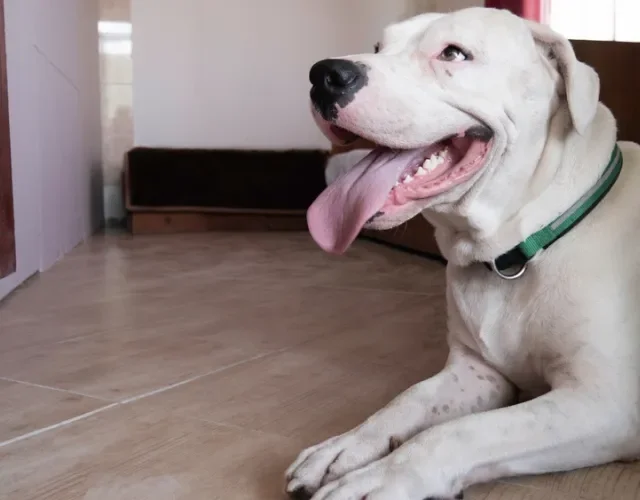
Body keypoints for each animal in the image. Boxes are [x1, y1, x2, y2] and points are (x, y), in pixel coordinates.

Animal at [288, 7, 640, 500]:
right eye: (378, 47)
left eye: (454, 53)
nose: (324, 75)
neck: (517, 252)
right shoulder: (477, 373)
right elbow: (409, 399)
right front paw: (345, 446)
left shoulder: (604, 402)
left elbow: (457, 433)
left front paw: (383, 477)